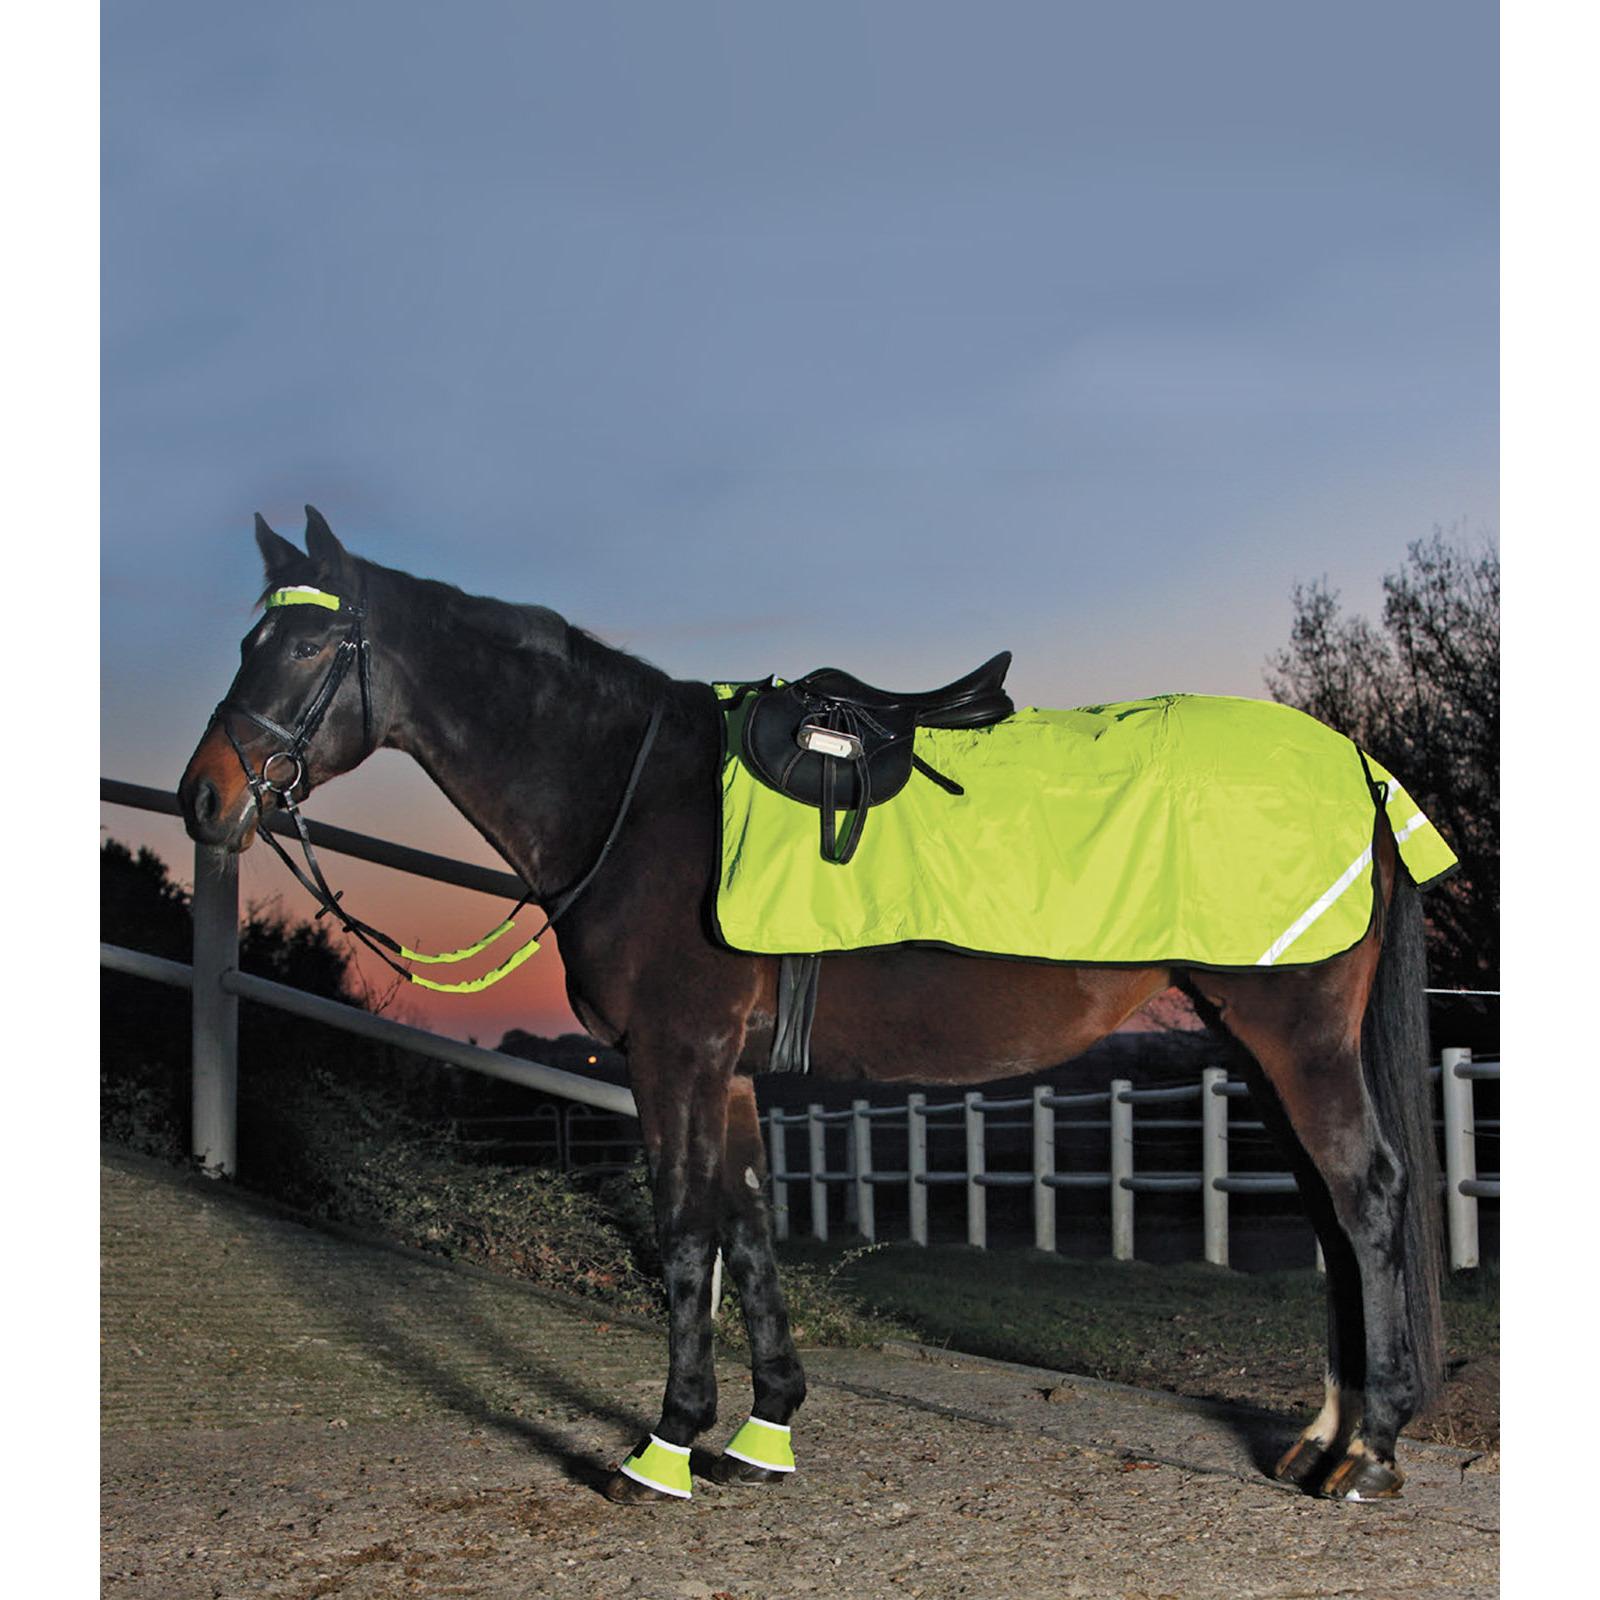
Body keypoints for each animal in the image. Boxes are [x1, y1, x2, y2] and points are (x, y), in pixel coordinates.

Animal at [178, 507, 1445, 1505]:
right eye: (246, 640)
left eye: (304, 643)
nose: (205, 797)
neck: (636, 794)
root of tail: (1359, 768)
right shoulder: (728, 1070)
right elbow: (748, 1223)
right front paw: (762, 1429)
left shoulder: (674, 1055)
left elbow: (686, 1228)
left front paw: (663, 1447)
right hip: (1256, 1042)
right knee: (1330, 1214)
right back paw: (1321, 1436)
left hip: (1294, 1036)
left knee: (1367, 1197)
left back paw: (1369, 1453)